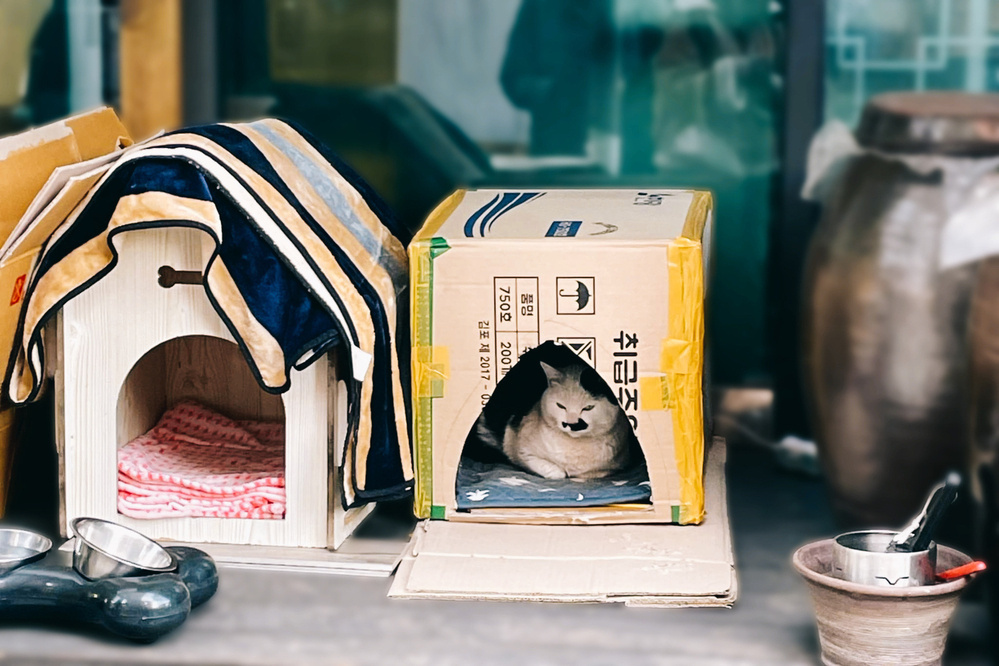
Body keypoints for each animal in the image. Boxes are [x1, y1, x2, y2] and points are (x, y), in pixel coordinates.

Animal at [476, 358, 632, 478]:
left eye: (588, 408)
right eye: (561, 406)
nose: (571, 423)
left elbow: (593, 473)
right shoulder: (523, 452)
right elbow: (557, 473)